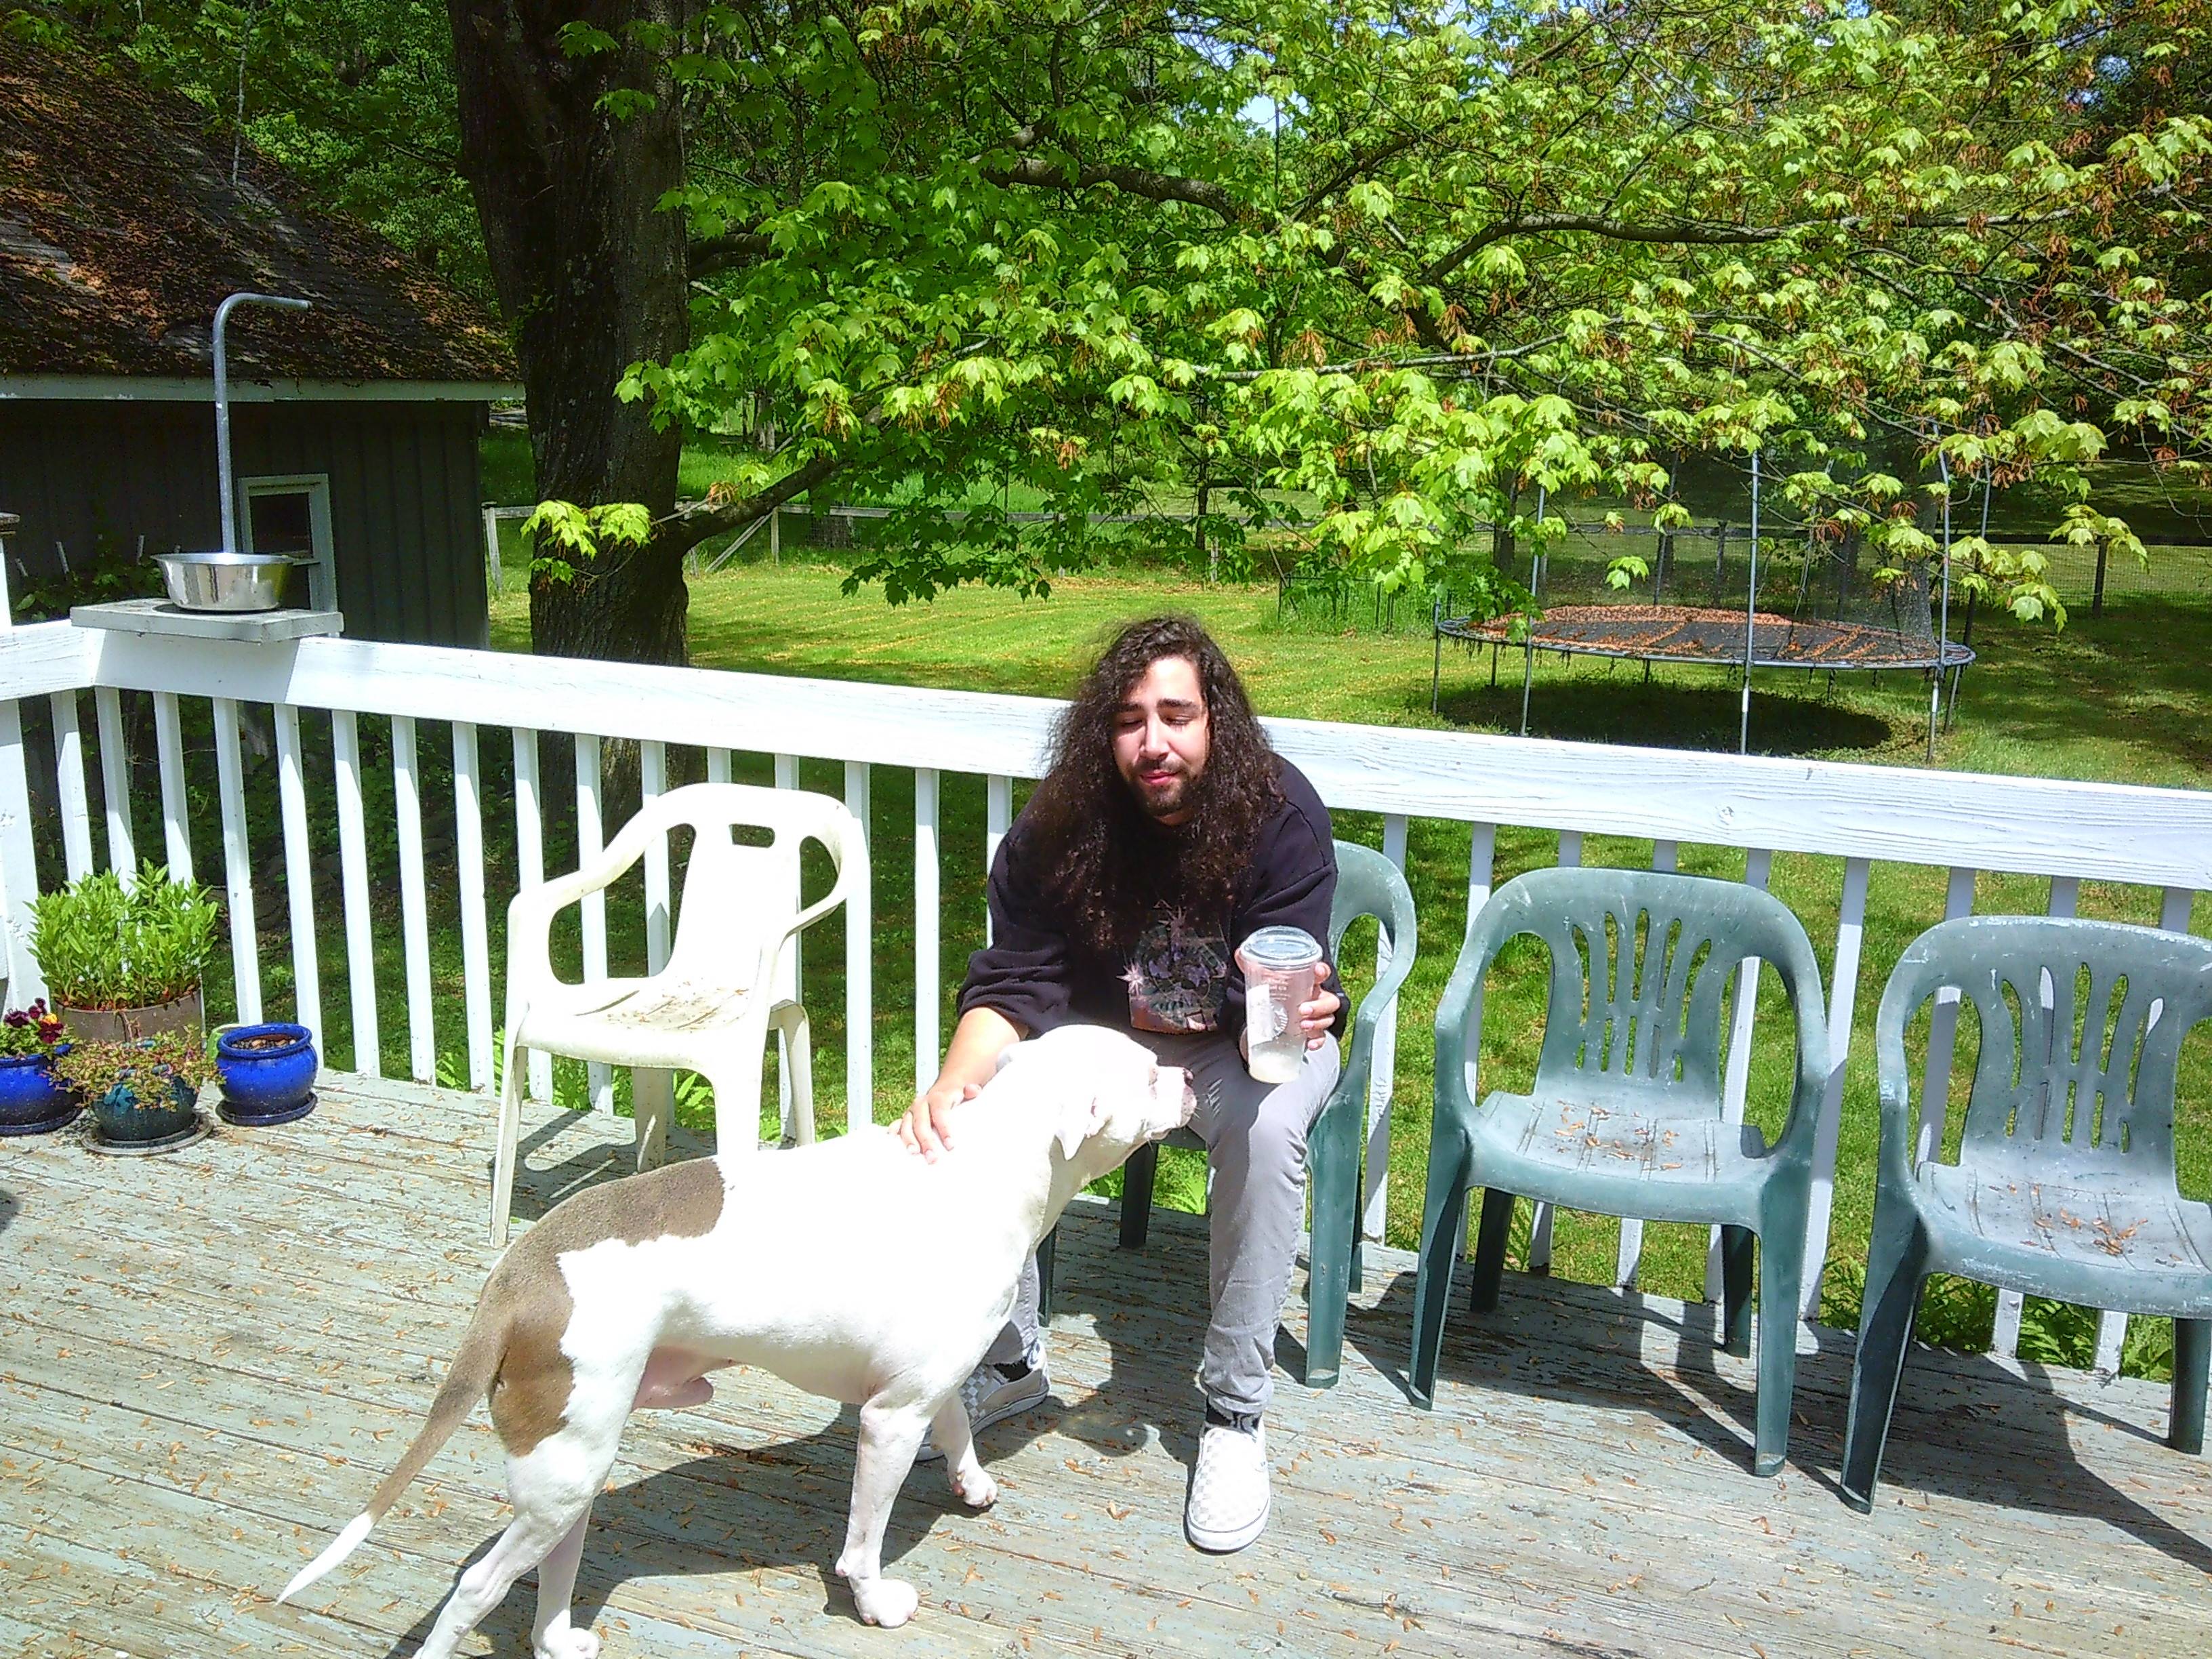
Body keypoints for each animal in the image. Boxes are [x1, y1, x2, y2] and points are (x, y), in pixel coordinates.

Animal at [285, 1035, 1203, 1654]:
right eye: (1148, 1069)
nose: (1193, 1075)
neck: (997, 1160)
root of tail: (519, 1269)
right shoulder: (888, 1420)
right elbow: (863, 1541)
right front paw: (873, 1604)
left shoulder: (926, 1388)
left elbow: (957, 1427)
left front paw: (971, 1484)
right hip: (563, 1469)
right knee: (478, 1586)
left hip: (572, 1472)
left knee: (546, 1576)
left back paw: (563, 1637)